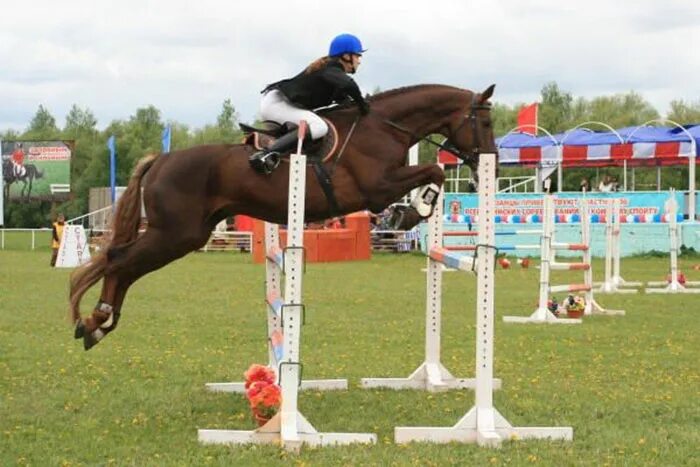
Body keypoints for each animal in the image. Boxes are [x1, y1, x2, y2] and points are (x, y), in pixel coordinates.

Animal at [69, 82, 498, 350]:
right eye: (486, 121)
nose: (489, 163)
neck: (383, 127)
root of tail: (161, 160)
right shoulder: (376, 187)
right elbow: (434, 172)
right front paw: (413, 212)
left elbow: (432, 173)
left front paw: (408, 213)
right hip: (175, 234)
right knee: (119, 261)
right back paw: (98, 321)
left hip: (185, 234)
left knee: (122, 265)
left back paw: (97, 324)